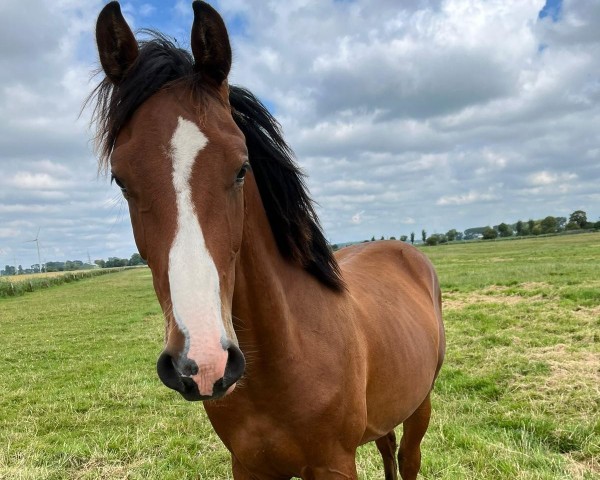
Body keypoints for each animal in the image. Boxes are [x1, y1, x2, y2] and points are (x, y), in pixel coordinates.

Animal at [90, 1, 446, 478]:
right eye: (121, 178)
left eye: (241, 167)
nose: (204, 362)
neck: (287, 353)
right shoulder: (249, 465)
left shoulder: (335, 465)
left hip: (420, 405)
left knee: (406, 458)